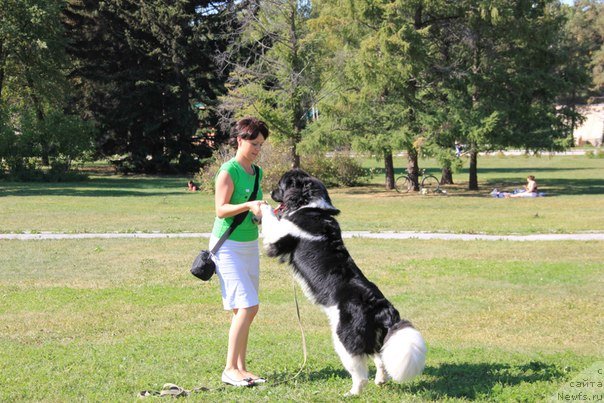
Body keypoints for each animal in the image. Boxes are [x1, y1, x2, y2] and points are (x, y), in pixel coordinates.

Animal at [262, 169, 428, 396]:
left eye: (280, 186)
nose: (270, 192)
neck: (310, 206)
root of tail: (382, 309)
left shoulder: (277, 239)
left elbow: (271, 223)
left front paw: (261, 205)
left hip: (344, 338)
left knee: (360, 370)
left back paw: (353, 392)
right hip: (370, 336)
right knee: (379, 358)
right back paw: (380, 380)